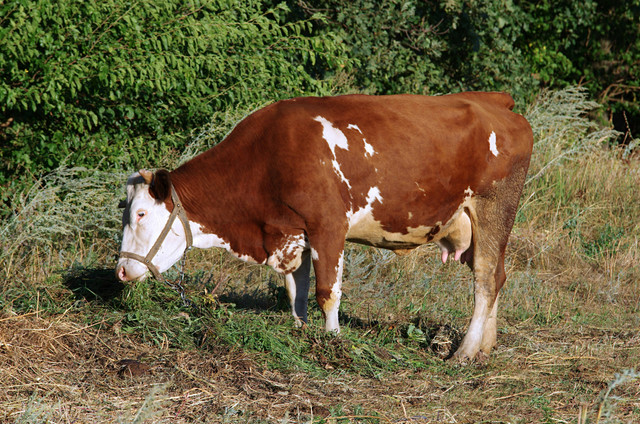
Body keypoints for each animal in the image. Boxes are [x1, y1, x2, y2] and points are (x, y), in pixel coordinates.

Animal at [116, 92, 536, 362]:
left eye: (140, 214)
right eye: (124, 210)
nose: (120, 271)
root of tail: (495, 101)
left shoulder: (328, 227)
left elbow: (326, 292)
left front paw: (333, 341)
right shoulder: (290, 233)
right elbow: (295, 291)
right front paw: (301, 332)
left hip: (494, 207)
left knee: (485, 279)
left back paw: (464, 353)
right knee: (497, 275)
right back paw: (485, 348)